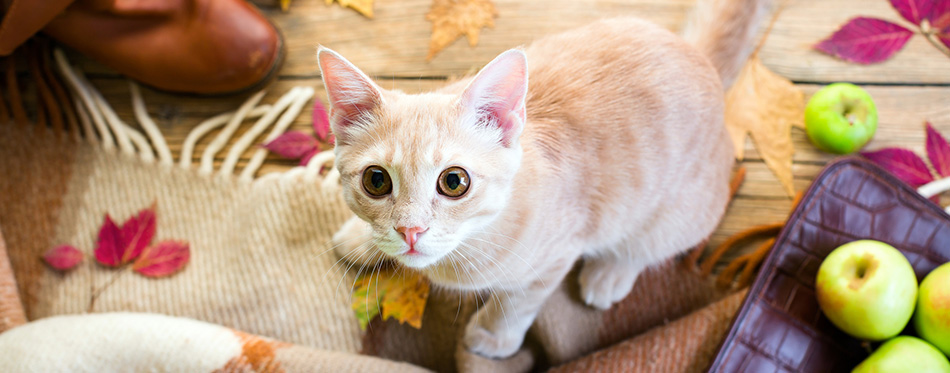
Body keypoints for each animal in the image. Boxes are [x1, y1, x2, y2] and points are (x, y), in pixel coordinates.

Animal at [324, 0, 768, 358]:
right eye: (376, 181)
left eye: (454, 182)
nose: (411, 231)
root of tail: (698, 56)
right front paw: (360, 238)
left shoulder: (557, 253)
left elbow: (516, 302)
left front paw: (493, 337)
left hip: (683, 210)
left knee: (650, 244)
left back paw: (610, 273)